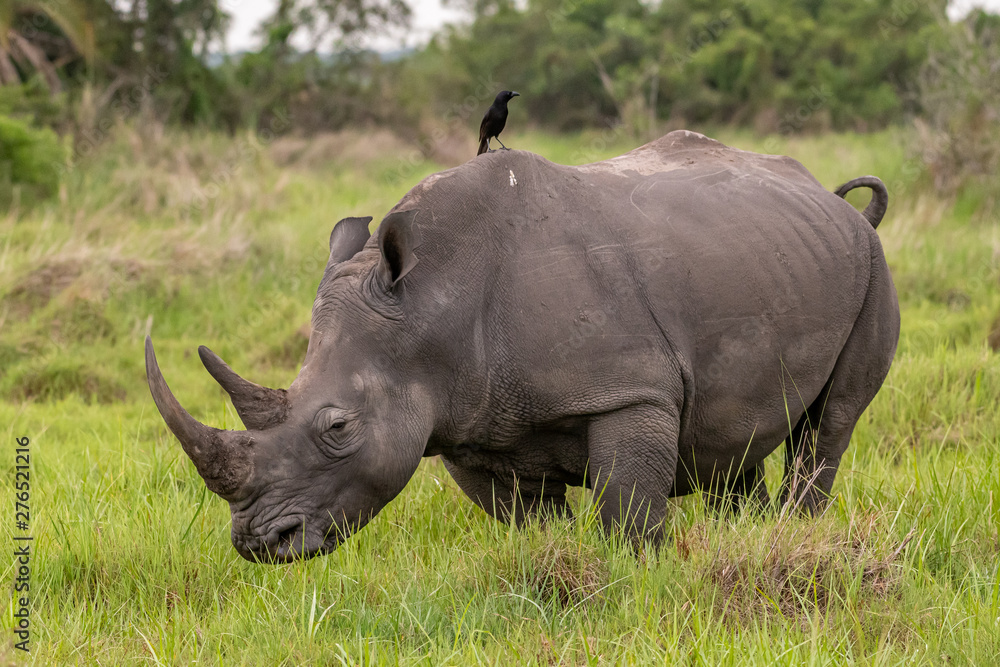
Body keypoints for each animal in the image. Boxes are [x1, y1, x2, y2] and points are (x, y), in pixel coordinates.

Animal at [145, 131, 899, 562]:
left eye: (337, 427)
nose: (257, 544)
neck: (431, 301)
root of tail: (834, 200)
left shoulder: (629, 391)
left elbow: (627, 513)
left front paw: (642, 580)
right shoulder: (468, 423)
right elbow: (526, 523)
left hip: (871, 265)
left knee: (829, 423)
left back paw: (798, 531)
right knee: (735, 433)